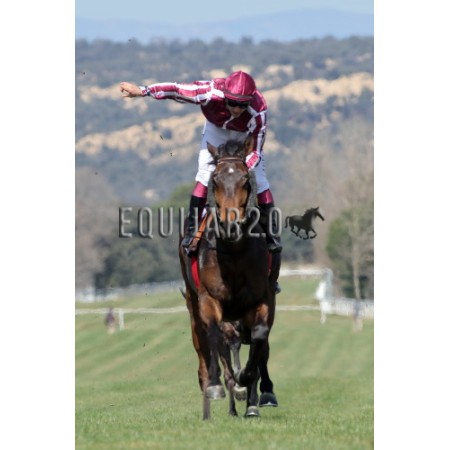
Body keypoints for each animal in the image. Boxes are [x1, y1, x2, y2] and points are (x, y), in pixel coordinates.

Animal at [179, 136, 279, 419]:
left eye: (245, 179)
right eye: (215, 181)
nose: (231, 225)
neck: (234, 250)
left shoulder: (263, 299)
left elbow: (259, 339)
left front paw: (251, 387)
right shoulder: (208, 299)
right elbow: (215, 335)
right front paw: (218, 386)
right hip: (193, 306)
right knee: (203, 346)